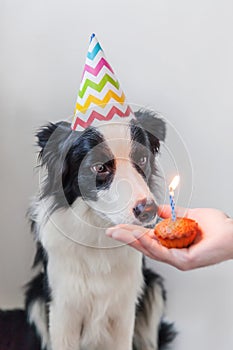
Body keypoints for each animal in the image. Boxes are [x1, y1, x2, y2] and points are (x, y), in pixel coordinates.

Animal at [0, 109, 176, 350]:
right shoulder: (63, 305)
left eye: (142, 159)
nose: (149, 210)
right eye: (99, 167)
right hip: (35, 295)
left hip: (154, 287)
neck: (98, 232)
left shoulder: (124, 305)